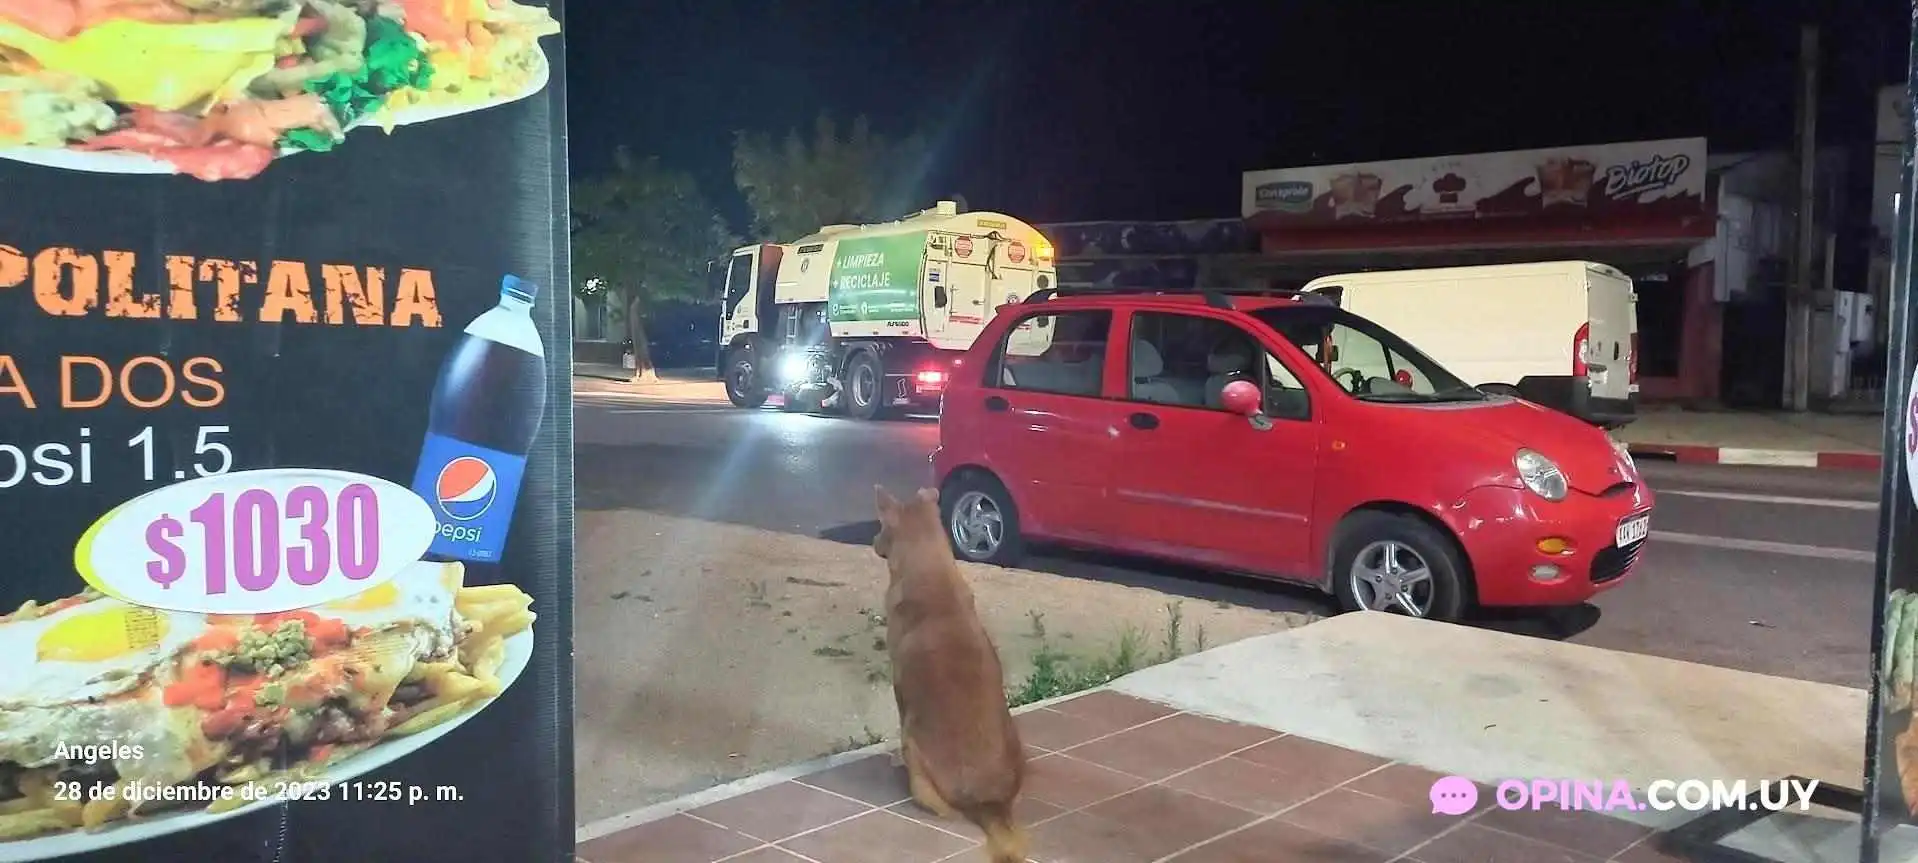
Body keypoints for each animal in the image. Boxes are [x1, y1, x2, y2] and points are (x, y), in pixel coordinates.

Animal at [874, 485, 1028, 863]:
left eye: (881, 526)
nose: (872, 541)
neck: (931, 575)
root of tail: (991, 805)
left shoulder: (900, 690)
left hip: (915, 746)